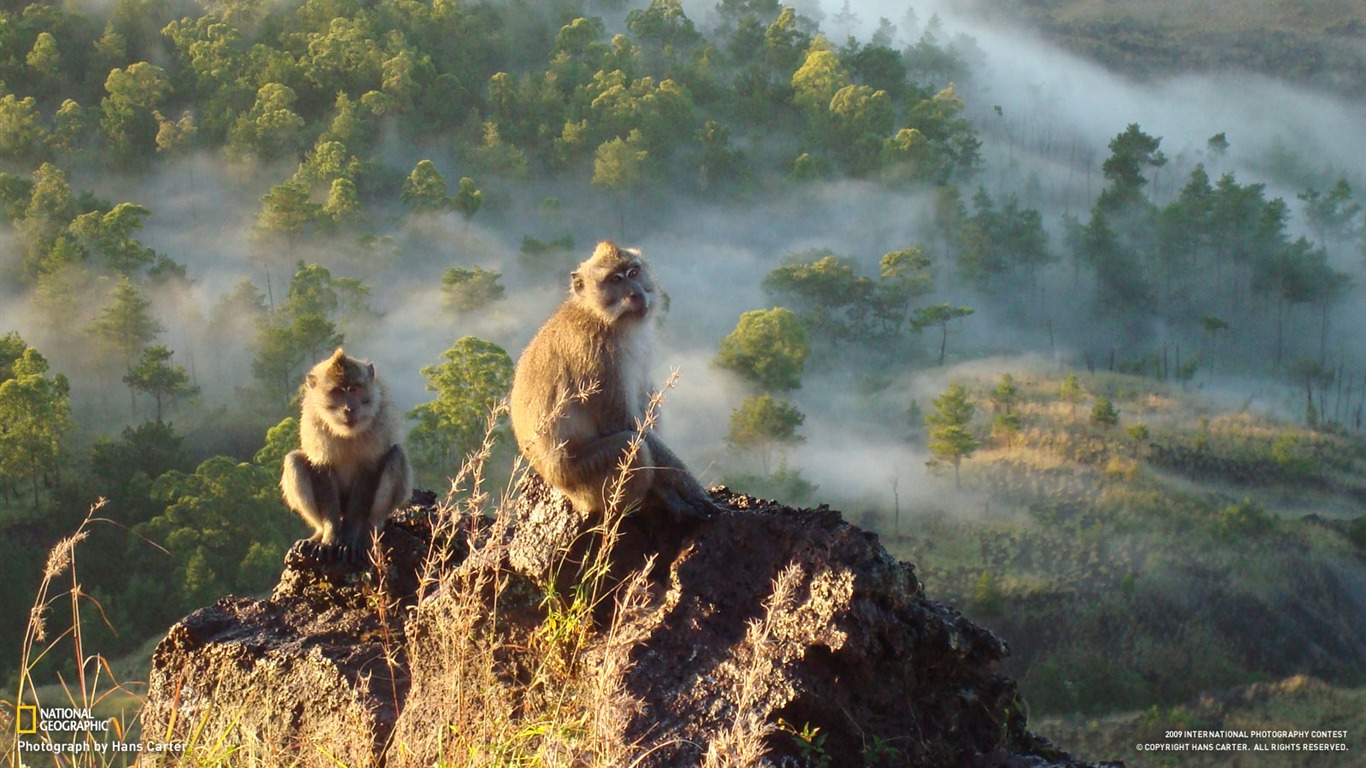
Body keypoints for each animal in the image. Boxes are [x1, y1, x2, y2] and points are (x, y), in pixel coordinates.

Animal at [275, 349, 404, 560]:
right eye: (337, 392)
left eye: (354, 389)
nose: (348, 409)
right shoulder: (313, 419)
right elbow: (321, 468)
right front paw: (330, 537)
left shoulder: (381, 418)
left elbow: (371, 466)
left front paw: (350, 537)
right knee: (294, 460)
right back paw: (318, 532)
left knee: (396, 456)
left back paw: (370, 530)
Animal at [513, 240, 726, 519]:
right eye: (615, 279)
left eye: (633, 273)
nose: (636, 293)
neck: (602, 317)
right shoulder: (597, 356)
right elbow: (624, 423)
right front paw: (690, 488)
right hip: (587, 480)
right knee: (631, 445)